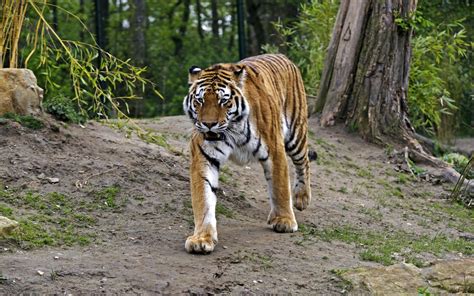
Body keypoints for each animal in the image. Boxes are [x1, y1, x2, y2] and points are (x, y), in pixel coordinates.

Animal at [183, 52, 312, 252]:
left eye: (223, 101)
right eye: (200, 100)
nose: (209, 124)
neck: (232, 128)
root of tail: (281, 55)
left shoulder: (275, 149)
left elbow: (280, 186)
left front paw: (284, 220)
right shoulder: (203, 156)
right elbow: (203, 198)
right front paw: (201, 238)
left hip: (296, 135)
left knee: (303, 162)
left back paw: (301, 199)